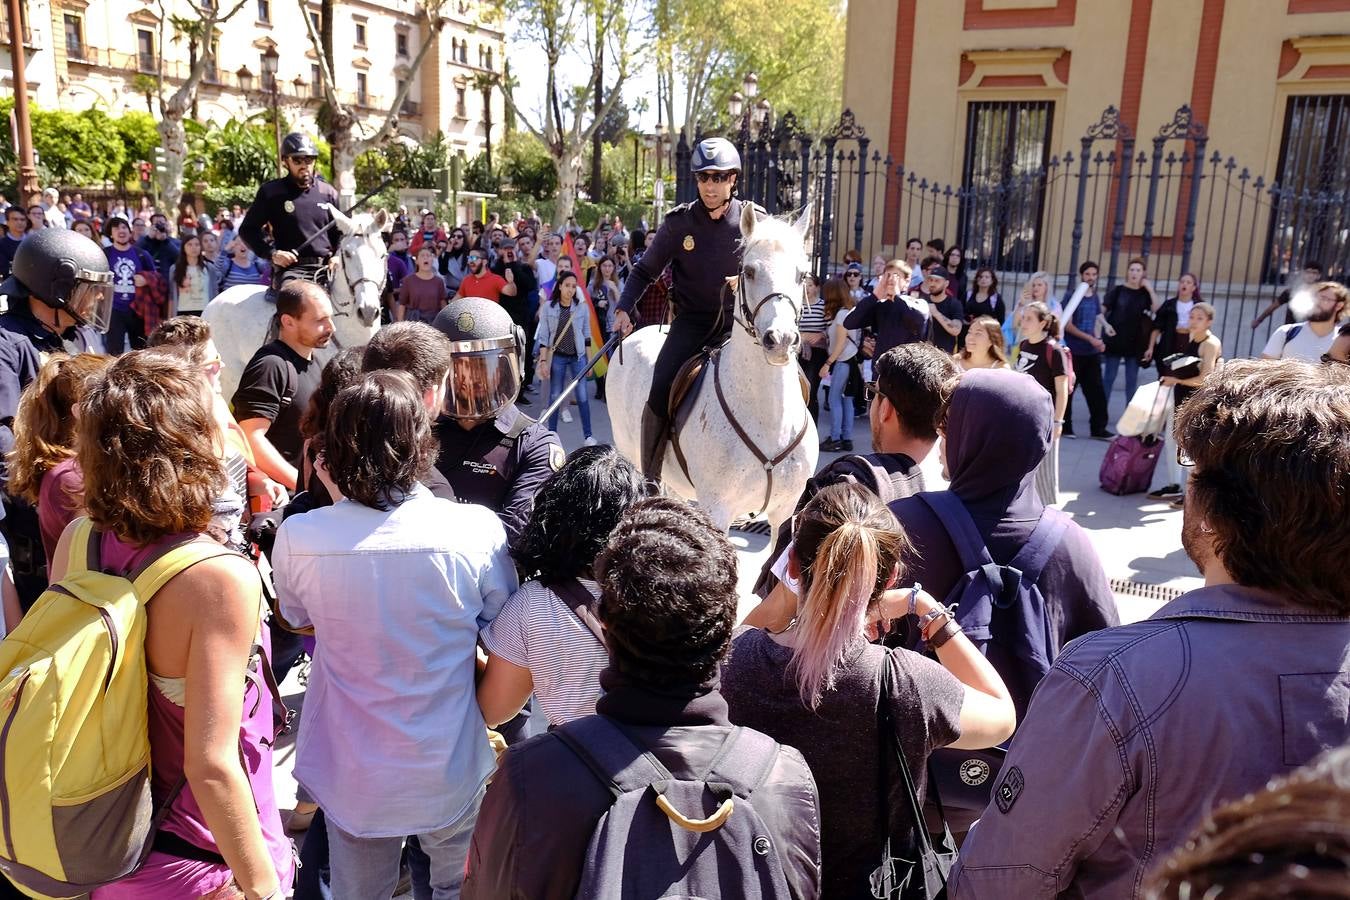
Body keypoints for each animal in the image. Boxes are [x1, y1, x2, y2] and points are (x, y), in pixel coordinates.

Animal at [607, 203, 815, 534]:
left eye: (802, 274)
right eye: (749, 271)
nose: (780, 340)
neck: (770, 420)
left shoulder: (785, 512)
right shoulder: (718, 509)